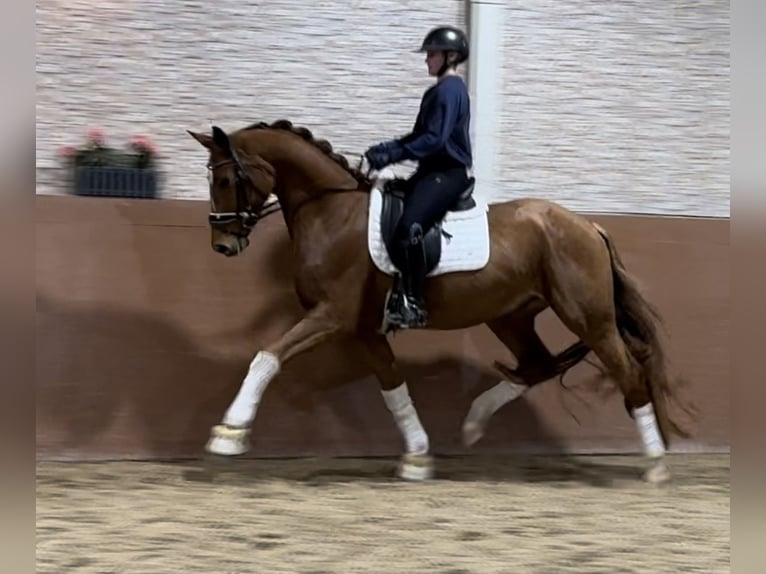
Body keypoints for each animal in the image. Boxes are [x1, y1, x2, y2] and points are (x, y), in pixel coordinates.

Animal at [189, 120, 700, 486]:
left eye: (228, 178)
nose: (222, 245)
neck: (331, 210)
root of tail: (589, 226)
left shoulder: (331, 316)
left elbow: (267, 356)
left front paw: (229, 434)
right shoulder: (365, 329)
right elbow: (394, 389)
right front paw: (417, 456)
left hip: (587, 318)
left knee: (627, 371)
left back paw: (655, 462)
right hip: (511, 316)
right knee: (538, 365)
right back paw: (473, 422)